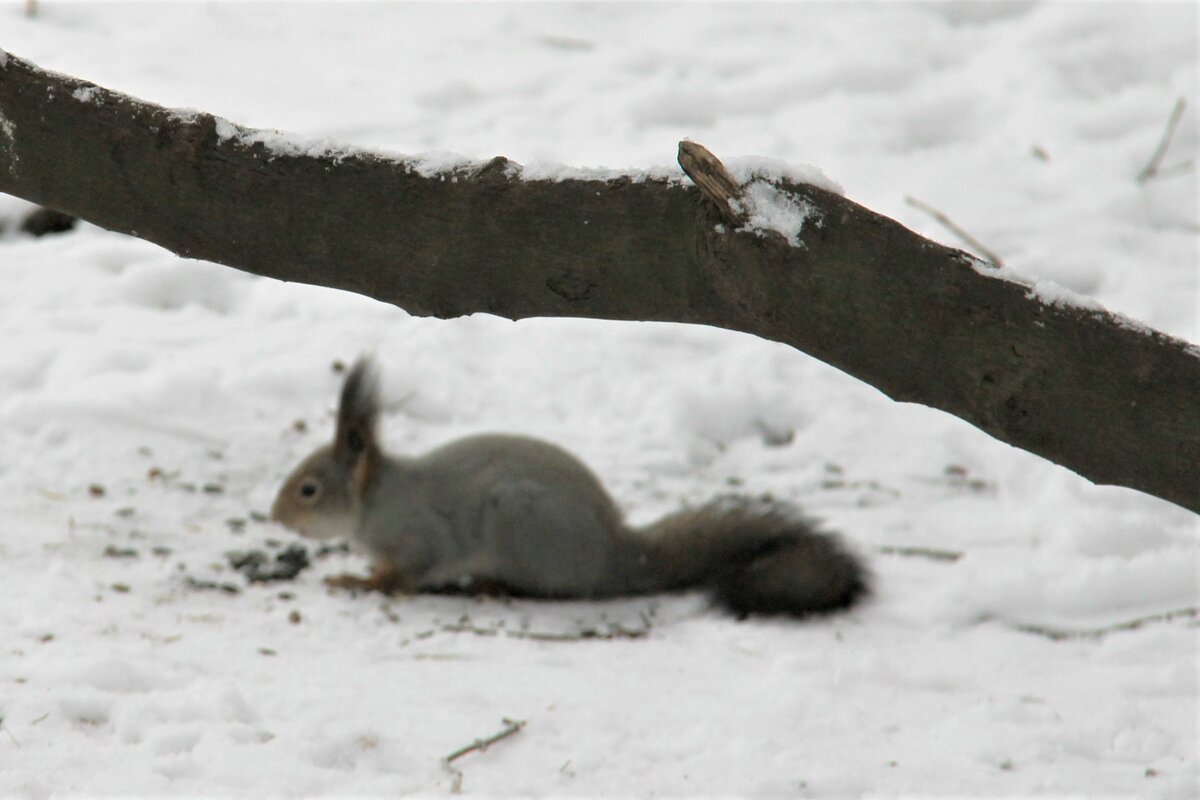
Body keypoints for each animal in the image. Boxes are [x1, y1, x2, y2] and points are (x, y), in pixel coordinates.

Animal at [270, 358, 869, 617]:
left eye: (309, 489)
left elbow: (407, 573)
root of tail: (615, 555)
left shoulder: (419, 538)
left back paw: (494, 585)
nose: (276, 516)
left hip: (517, 523)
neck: (374, 501)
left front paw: (360, 581)